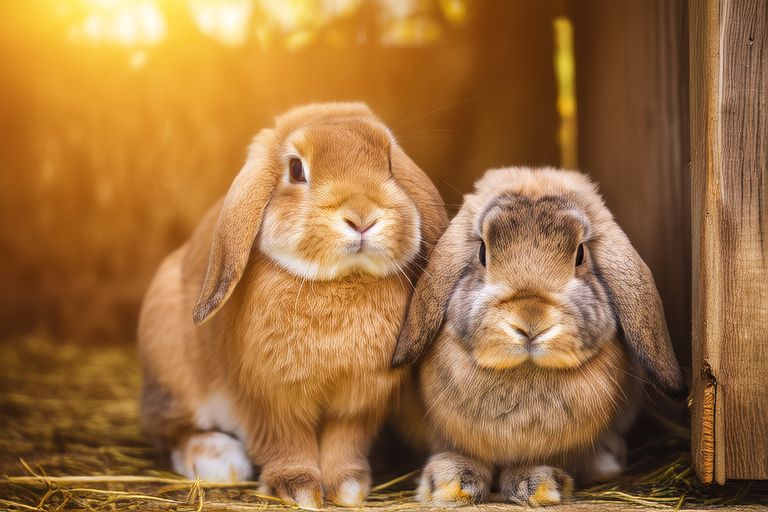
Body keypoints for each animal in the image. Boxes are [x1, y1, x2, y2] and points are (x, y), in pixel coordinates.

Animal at [138, 102, 448, 510]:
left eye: (389, 163)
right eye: (296, 169)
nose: (362, 217)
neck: (340, 281)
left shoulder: (357, 406)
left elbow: (342, 445)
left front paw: (348, 489)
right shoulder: (271, 401)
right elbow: (287, 444)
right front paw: (299, 490)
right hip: (173, 370)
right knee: (169, 429)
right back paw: (218, 460)